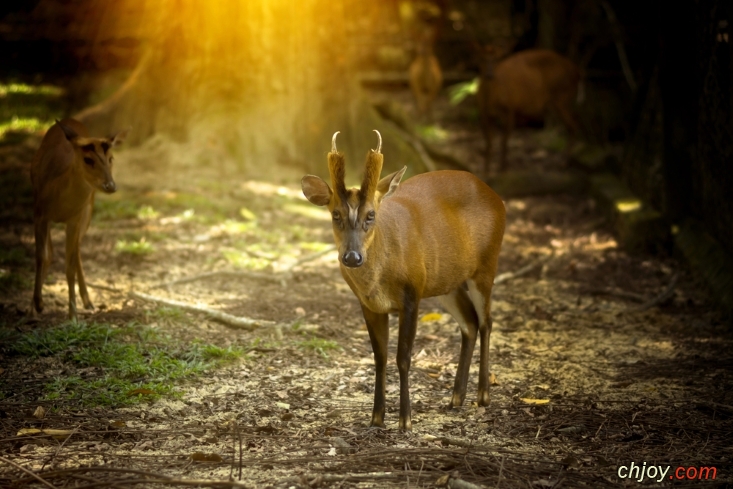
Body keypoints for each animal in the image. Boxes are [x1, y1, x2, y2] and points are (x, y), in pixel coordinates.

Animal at [31, 116, 127, 318]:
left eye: (111, 158)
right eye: (88, 159)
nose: (110, 186)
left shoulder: (75, 218)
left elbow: (70, 266)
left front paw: (73, 315)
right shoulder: (39, 213)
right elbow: (41, 255)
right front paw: (37, 304)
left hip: (88, 211)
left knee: (76, 251)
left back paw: (88, 301)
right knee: (52, 252)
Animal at [300, 131, 506, 430]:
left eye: (371, 215)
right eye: (335, 214)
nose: (352, 257)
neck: (378, 280)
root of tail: (498, 199)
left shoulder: (411, 294)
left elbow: (404, 358)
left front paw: (405, 421)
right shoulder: (370, 305)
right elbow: (380, 358)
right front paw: (376, 418)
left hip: (486, 265)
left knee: (487, 321)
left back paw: (483, 396)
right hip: (446, 282)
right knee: (469, 322)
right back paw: (456, 397)